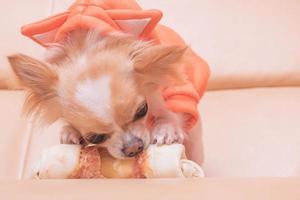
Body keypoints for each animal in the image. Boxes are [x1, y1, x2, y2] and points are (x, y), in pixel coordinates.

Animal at [7, 0, 209, 159]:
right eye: (94, 138)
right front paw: (70, 131)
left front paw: (166, 128)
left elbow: (169, 109)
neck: (85, 47)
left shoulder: (164, 85)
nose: (133, 147)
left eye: (142, 110)